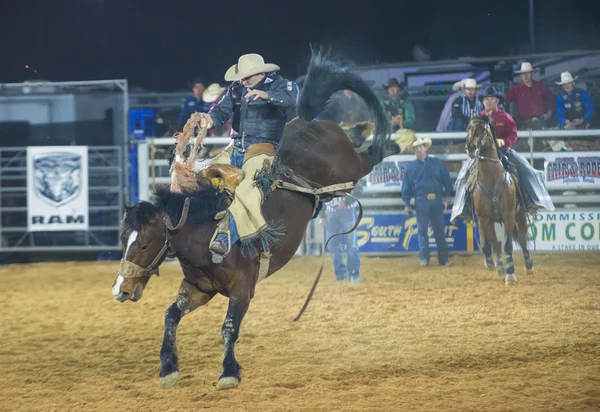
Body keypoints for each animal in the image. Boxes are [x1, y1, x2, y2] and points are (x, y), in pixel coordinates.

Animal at [111, 50, 394, 390]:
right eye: (122, 241)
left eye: (143, 244)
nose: (120, 291)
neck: (205, 234)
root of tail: (309, 122)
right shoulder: (197, 289)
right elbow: (170, 316)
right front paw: (168, 368)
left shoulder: (243, 289)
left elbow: (229, 327)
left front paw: (228, 372)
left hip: (351, 166)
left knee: (374, 152)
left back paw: (391, 138)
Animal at [466, 115, 532, 284]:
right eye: (468, 127)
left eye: (484, 129)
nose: (471, 147)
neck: (491, 181)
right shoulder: (486, 218)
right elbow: (495, 244)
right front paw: (501, 268)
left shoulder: (508, 215)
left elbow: (508, 245)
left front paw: (510, 274)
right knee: (487, 241)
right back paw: (491, 262)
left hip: (519, 215)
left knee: (522, 238)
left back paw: (529, 265)